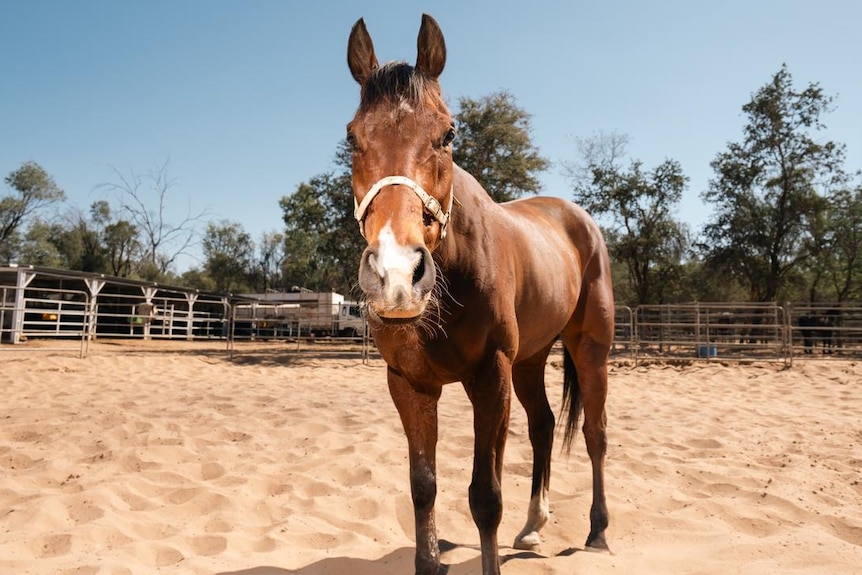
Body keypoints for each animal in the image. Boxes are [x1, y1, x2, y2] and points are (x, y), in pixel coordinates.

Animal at [344, 13, 616, 575]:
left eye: (448, 133)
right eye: (352, 138)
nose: (397, 275)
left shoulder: (490, 375)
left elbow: (485, 497)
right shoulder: (409, 384)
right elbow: (422, 488)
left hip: (589, 350)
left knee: (596, 434)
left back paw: (598, 532)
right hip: (531, 359)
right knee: (542, 426)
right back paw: (533, 527)